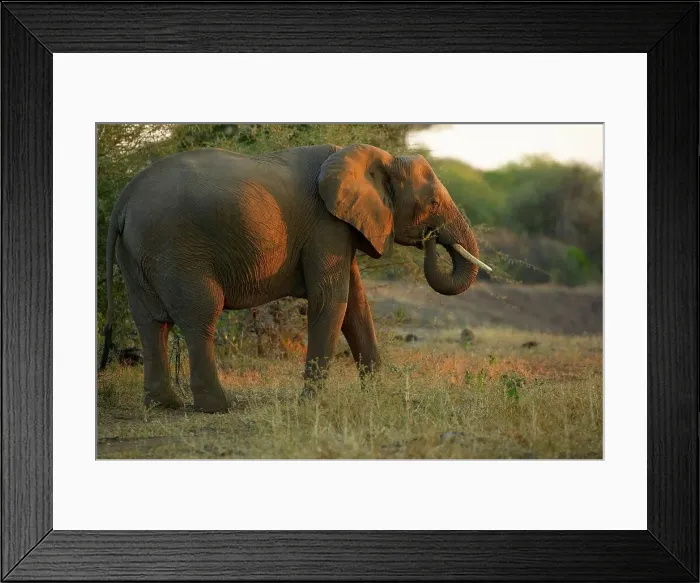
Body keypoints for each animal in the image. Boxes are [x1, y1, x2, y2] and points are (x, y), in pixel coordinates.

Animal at [99, 143, 491, 412]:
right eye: (433, 204)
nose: (431, 238)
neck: (374, 157)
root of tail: (125, 198)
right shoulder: (326, 224)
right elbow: (332, 299)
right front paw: (312, 403)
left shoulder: (340, 226)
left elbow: (356, 304)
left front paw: (382, 395)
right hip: (175, 248)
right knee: (200, 315)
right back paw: (218, 407)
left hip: (137, 252)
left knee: (150, 322)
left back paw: (164, 405)